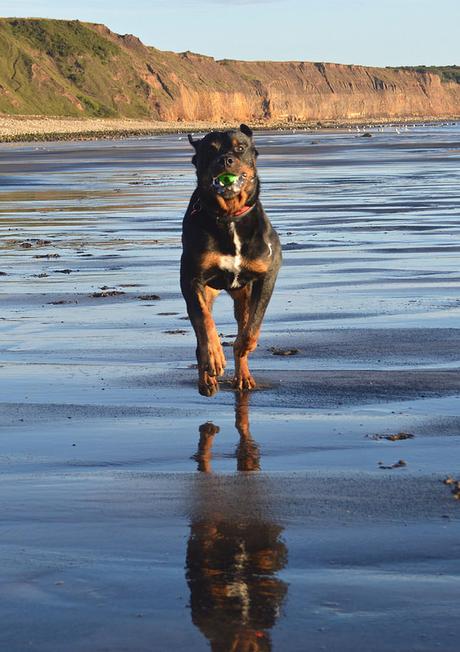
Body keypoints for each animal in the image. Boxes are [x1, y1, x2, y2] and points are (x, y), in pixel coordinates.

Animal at [180, 124, 280, 394]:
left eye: (240, 147)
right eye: (210, 150)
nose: (225, 160)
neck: (229, 217)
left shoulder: (267, 274)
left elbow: (253, 325)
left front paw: (243, 346)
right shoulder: (192, 279)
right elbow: (204, 322)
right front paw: (214, 357)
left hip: (243, 294)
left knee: (243, 323)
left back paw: (243, 375)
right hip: (207, 291)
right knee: (199, 335)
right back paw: (206, 379)